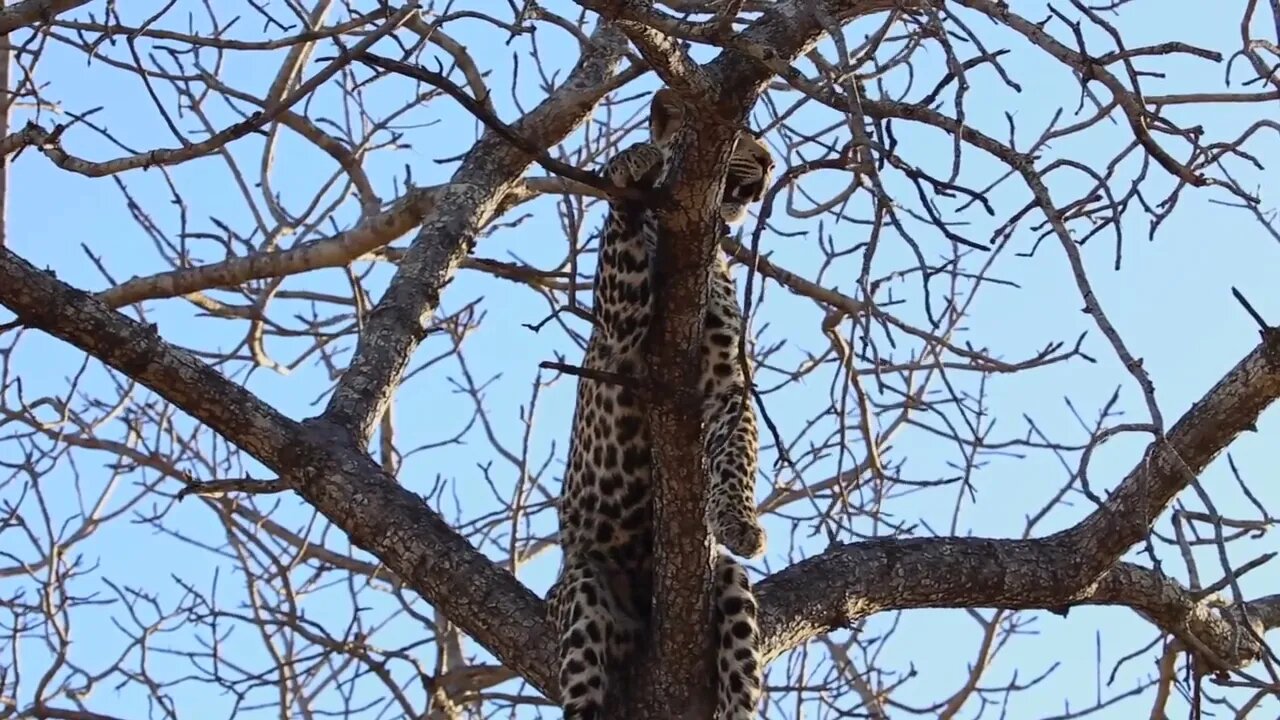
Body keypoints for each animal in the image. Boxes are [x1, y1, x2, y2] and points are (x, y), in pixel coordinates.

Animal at [545, 89, 773, 717]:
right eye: (741, 137)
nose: (769, 162)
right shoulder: (620, 327)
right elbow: (621, 220)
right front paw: (632, 163)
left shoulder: (727, 384)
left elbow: (738, 453)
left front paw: (739, 522)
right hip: (583, 589)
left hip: (730, 587)